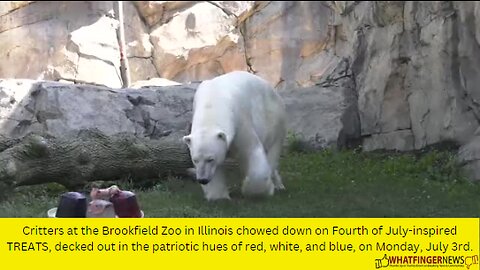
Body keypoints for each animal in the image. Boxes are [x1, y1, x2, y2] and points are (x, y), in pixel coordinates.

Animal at [182, 70, 286, 199]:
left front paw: (253, 190)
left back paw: (276, 185)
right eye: (195, 160)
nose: (203, 179)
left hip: (274, 119)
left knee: (272, 150)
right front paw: (219, 196)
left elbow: (251, 150)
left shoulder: (240, 121)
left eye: (210, 159)